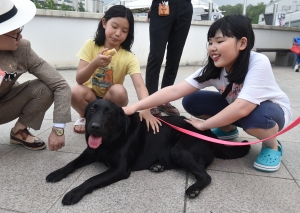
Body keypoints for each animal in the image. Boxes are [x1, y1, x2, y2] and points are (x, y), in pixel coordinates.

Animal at [45, 100, 250, 205]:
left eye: (109, 113)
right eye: (91, 110)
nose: (93, 127)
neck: (111, 140)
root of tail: (208, 133)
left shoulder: (119, 169)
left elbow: (91, 180)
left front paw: (74, 193)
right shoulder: (89, 153)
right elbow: (71, 163)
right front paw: (56, 173)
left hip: (181, 151)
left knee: (206, 176)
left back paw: (193, 189)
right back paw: (158, 166)